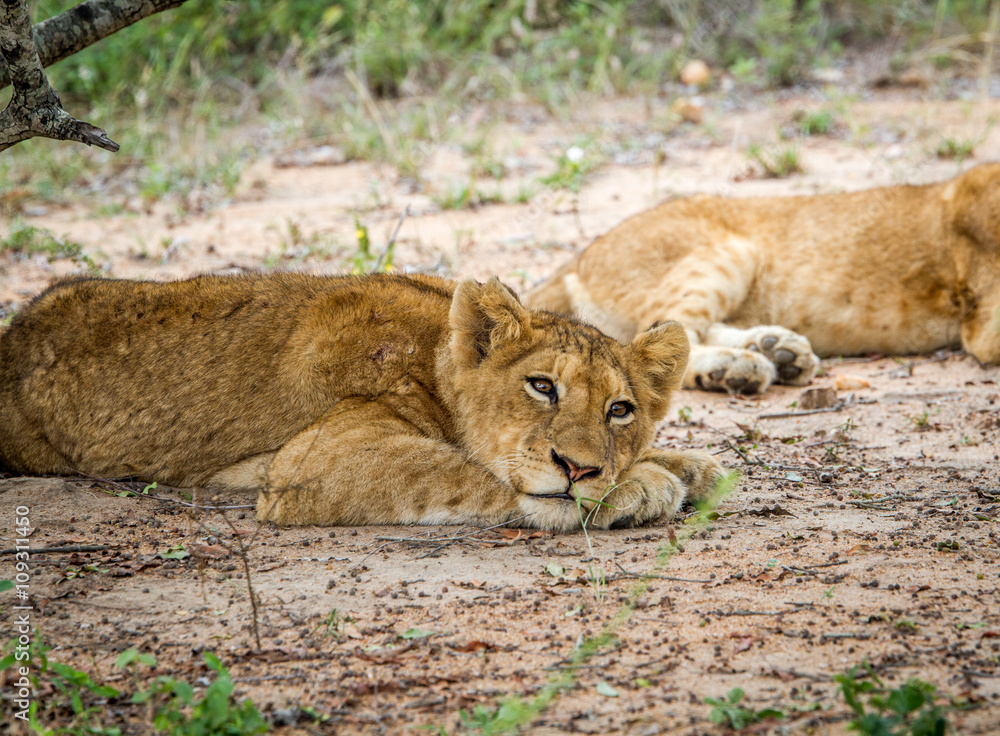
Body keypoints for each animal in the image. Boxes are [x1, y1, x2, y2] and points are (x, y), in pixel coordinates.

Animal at [0, 272, 725, 530]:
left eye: (620, 411)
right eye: (542, 386)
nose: (579, 468)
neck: (433, 354)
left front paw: (682, 465)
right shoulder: (322, 458)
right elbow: (469, 473)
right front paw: (642, 486)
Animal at [526, 163, 1000, 394]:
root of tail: (579, 257)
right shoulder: (983, 329)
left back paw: (778, 351)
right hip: (731, 251)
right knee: (661, 340)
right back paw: (741, 367)